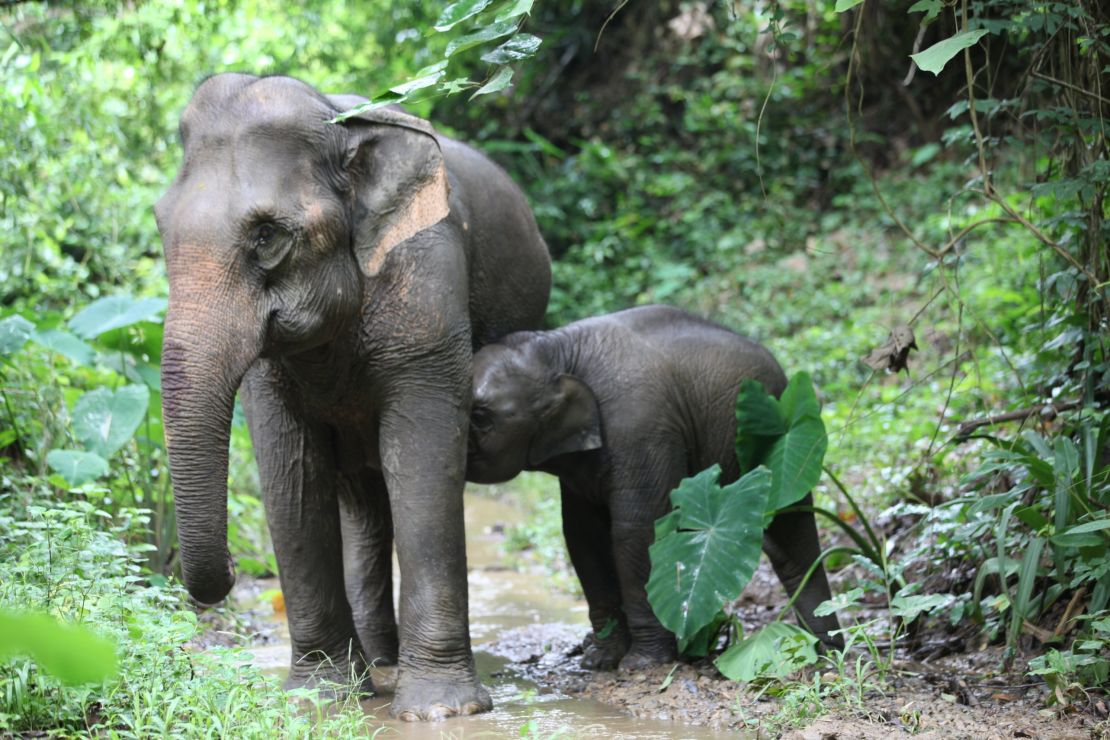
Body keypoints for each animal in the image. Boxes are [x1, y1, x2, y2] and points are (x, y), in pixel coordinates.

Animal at [156, 72, 550, 718]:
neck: (341, 126)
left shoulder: (428, 284)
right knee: (363, 500)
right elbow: (291, 474)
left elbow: (423, 464)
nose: (236, 567)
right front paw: (318, 697)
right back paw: (377, 662)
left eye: (267, 236)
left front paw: (442, 710)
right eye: (161, 228)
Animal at [468, 306, 839, 670]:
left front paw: (640, 664)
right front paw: (599, 659)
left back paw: (823, 649)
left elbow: (636, 531)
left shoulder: (639, 429)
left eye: (480, 417)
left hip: (778, 446)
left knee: (792, 534)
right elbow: (582, 536)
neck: (555, 348)